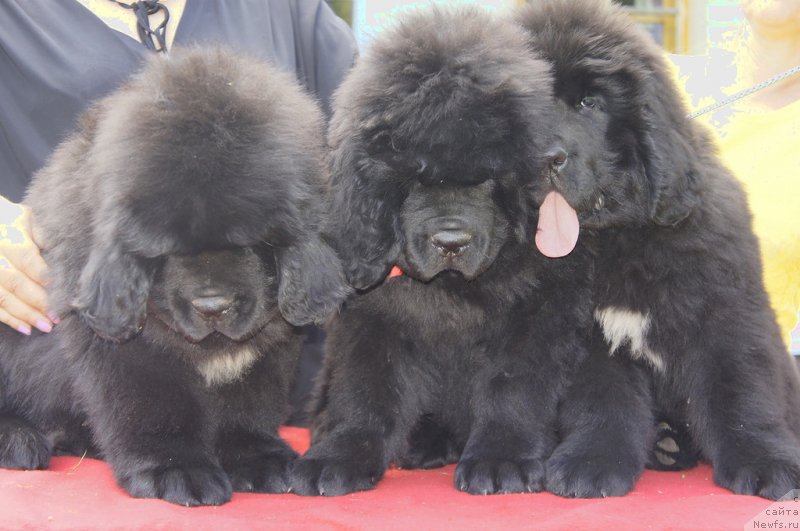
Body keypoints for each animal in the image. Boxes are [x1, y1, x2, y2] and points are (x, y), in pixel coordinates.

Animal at [0, 48, 350, 508]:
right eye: (166, 248)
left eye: (248, 239)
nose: (212, 307)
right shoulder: (132, 352)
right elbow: (153, 409)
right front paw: (176, 470)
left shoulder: (269, 347)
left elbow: (248, 405)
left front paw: (256, 458)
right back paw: (18, 439)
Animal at [288, 8, 592, 496]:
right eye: (414, 177)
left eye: (488, 175)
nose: (451, 242)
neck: (450, 291)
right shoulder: (372, 321)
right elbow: (366, 393)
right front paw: (339, 456)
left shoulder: (535, 315)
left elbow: (512, 388)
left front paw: (500, 458)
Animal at [516, 0, 796, 498]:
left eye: (590, 103)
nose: (541, 156)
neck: (621, 236)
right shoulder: (591, 339)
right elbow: (603, 405)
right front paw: (593, 462)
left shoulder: (727, 317)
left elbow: (742, 395)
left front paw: (764, 462)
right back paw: (666, 444)